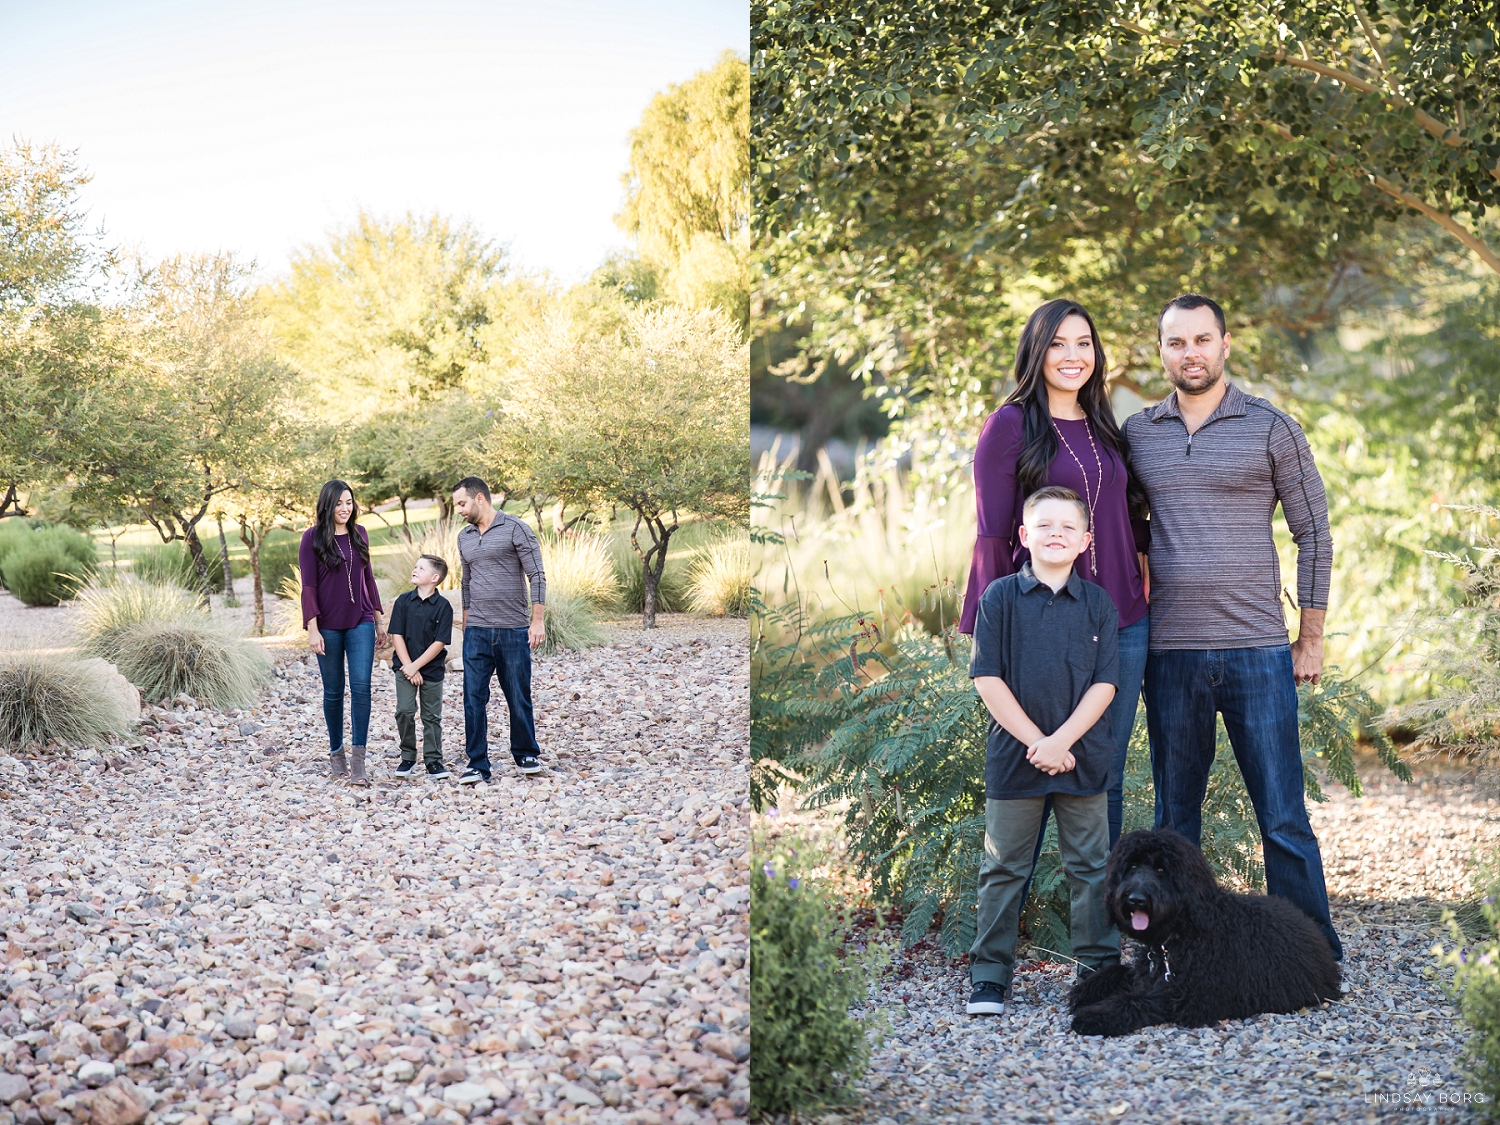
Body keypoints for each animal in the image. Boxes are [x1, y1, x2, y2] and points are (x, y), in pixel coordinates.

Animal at [1074, 828, 1344, 1038]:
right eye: (1131, 866)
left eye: (1161, 870)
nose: (1136, 899)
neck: (1181, 933)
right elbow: (1121, 971)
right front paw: (1087, 988)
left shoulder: (1190, 996)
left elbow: (1136, 1000)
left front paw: (1095, 1015)